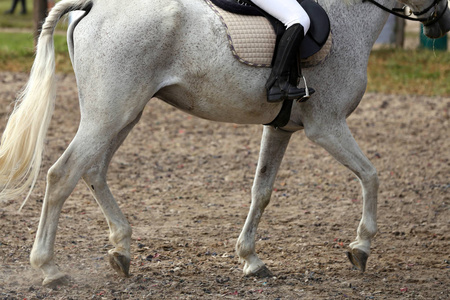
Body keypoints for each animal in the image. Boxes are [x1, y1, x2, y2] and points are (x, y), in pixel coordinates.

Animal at [0, 0, 448, 288]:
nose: (441, 21)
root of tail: (91, 5)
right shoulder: (328, 126)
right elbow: (371, 176)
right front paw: (361, 246)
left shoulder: (281, 128)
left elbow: (262, 191)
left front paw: (251, 260)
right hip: (108, 114)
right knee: (62, 175)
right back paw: (50, 269)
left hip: (123, 115)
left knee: (93, 170)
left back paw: (122, 249)